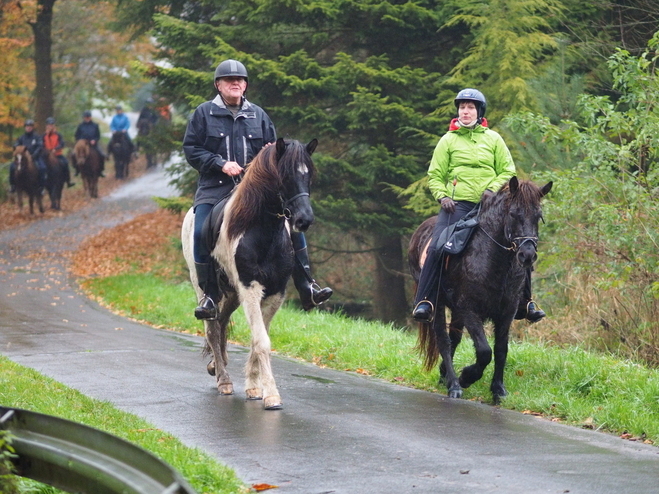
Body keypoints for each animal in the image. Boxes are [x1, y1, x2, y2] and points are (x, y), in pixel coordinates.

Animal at [182, 136, 318, 410]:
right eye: (285, 176)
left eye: (308, 175)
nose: (304, 220)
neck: (262, 230)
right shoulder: (251, 288)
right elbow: (261, 341)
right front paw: (272, 396)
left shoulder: (275, 292)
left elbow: (259, 339)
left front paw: (255, 387)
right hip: (204, 289)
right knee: (212, 328)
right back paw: (223, 379)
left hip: (232, 293)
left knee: (222, 322)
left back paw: (216, 366)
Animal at [410, 178, 556, 402]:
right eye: (513, 213)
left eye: (538, 216)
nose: (527, 255)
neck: (494, 262)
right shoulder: (469, 310)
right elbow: (484, 351)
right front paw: (466, 377)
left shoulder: (507, 312)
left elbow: (501, 349)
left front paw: (498, 389)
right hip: (438, 304)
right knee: (443, 340)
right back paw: (454, 385)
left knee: (454, 339)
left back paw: (445, 376)